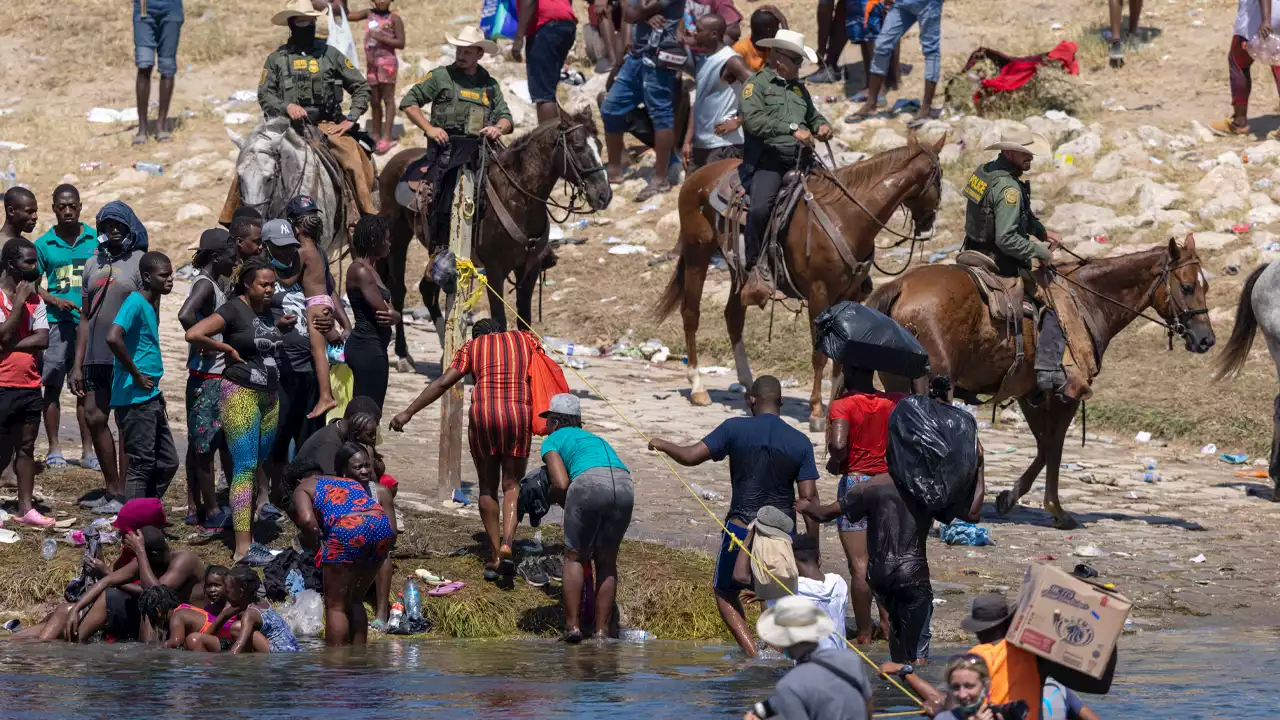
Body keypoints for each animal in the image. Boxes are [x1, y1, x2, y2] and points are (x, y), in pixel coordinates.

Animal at [655, 133, 947, 425]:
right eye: (939, 177)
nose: (928, 223)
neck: (846, 216)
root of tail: (696, 175)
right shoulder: (819, 293)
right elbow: (820, 354)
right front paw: (816, 411)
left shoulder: (849, 296)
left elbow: (841, 352)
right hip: (697, 254)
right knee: (691, 313)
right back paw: (698, 387)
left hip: (736, 267)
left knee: (733, 316)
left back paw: (749, 384)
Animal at [865, 235, 1213, 527]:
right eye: (1186, 287)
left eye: (1205, 286)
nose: (1206, 339)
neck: (1087, 301)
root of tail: (901, 287)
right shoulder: (1066, 392)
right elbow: (1054, 445)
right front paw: (1054, 509)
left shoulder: (1028, 393)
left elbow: (1044, 444)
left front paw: (1009, 497)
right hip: (935, 384)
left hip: (898, 380)